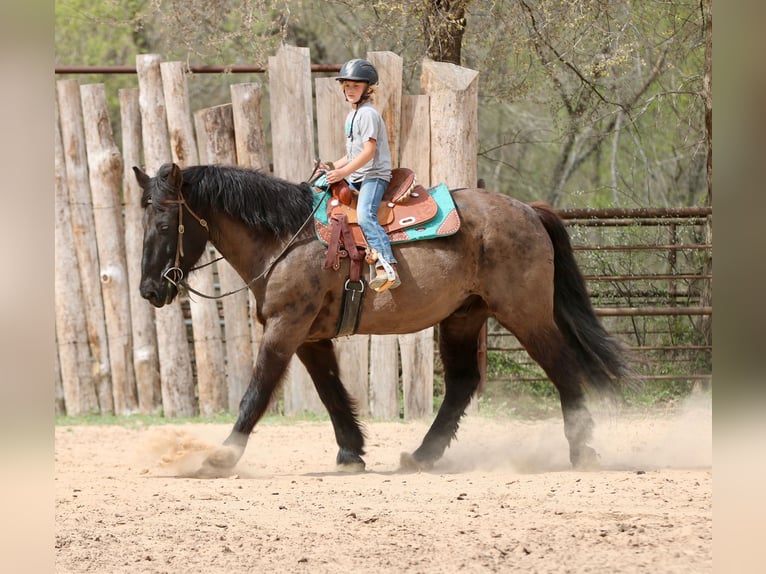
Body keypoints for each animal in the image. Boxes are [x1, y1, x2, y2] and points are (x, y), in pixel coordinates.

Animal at [133, 162, 628, 472]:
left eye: (165, 226)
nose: (150, 290)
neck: (284, 239)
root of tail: (529, 211)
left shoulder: (285, 328)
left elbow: (255, 394)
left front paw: (220, 458)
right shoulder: (310, 338)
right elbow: (331, 392)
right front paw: (351, 452)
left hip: (526, 315)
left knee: (563, 368)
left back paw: (582, 451)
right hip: (463, 317)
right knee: (463, 384)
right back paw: (422, 456)